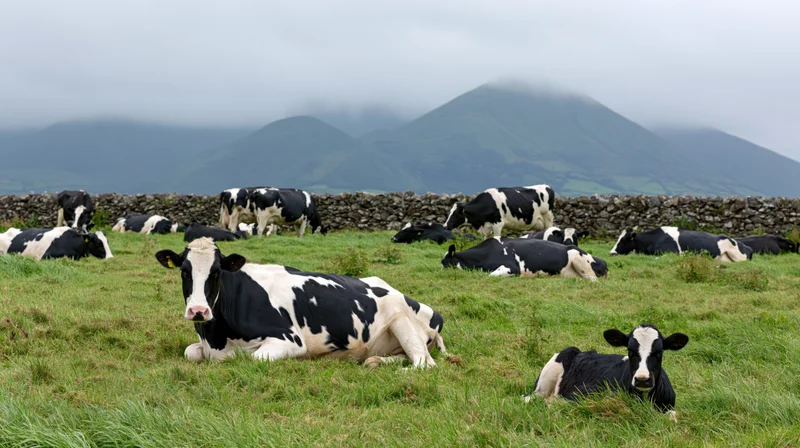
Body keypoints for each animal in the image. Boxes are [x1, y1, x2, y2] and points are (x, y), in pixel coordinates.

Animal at [154, 237, 446, 367]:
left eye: (216, 272)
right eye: (184, 271)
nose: (198, 311)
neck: (216, 337)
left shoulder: (289, 339)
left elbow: (253, 359)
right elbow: (190, 352)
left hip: (401, 319)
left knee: (425, 364)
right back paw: (373, 362)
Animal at [525, 324, 689, 420]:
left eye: (659, 352)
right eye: (630, 351)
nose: (642, 379)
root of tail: (581, 351)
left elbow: (674, 415)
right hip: (543, 386)